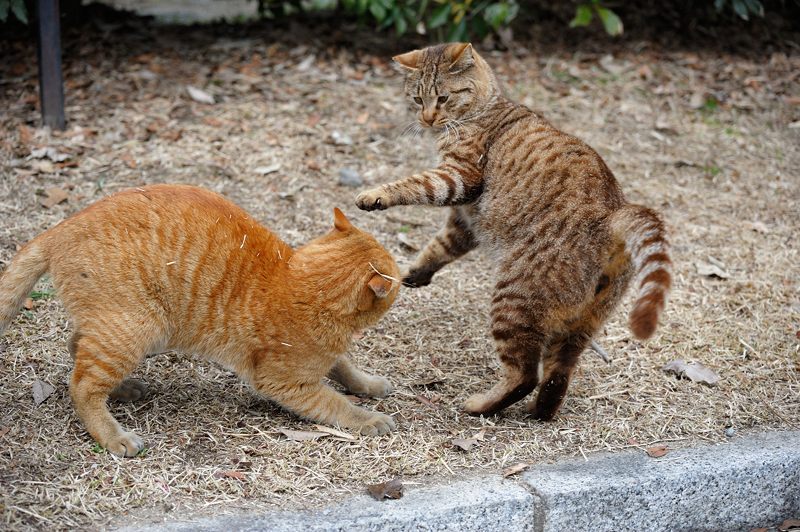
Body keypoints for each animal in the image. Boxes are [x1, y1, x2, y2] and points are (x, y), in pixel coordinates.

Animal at [0, 185, 400, 456]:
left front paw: (367, 384)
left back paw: (125, 389)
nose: (408, 278)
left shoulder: (323, 357)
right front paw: (368, 419)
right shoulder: (285, 383)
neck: (297, 280)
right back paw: (114, 435)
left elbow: (343, 366)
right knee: (81, 384)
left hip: (134, 331)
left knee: (76, 347)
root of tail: (59, 229)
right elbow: (336, 404)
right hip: (137, 328)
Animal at [354, 42, 672, 420]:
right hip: (584, 322)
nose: (427, 118)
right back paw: (540, 411)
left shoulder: (457, 178)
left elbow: (414, 184)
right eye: (417, 99)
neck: (486, 108)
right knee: (558, 374)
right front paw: (412, 274)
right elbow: (437, 248)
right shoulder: (464, 223)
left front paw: (375, 195)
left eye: (443, 98)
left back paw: (479, 405)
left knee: (525, 374)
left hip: (515, 298)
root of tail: (613, 211)